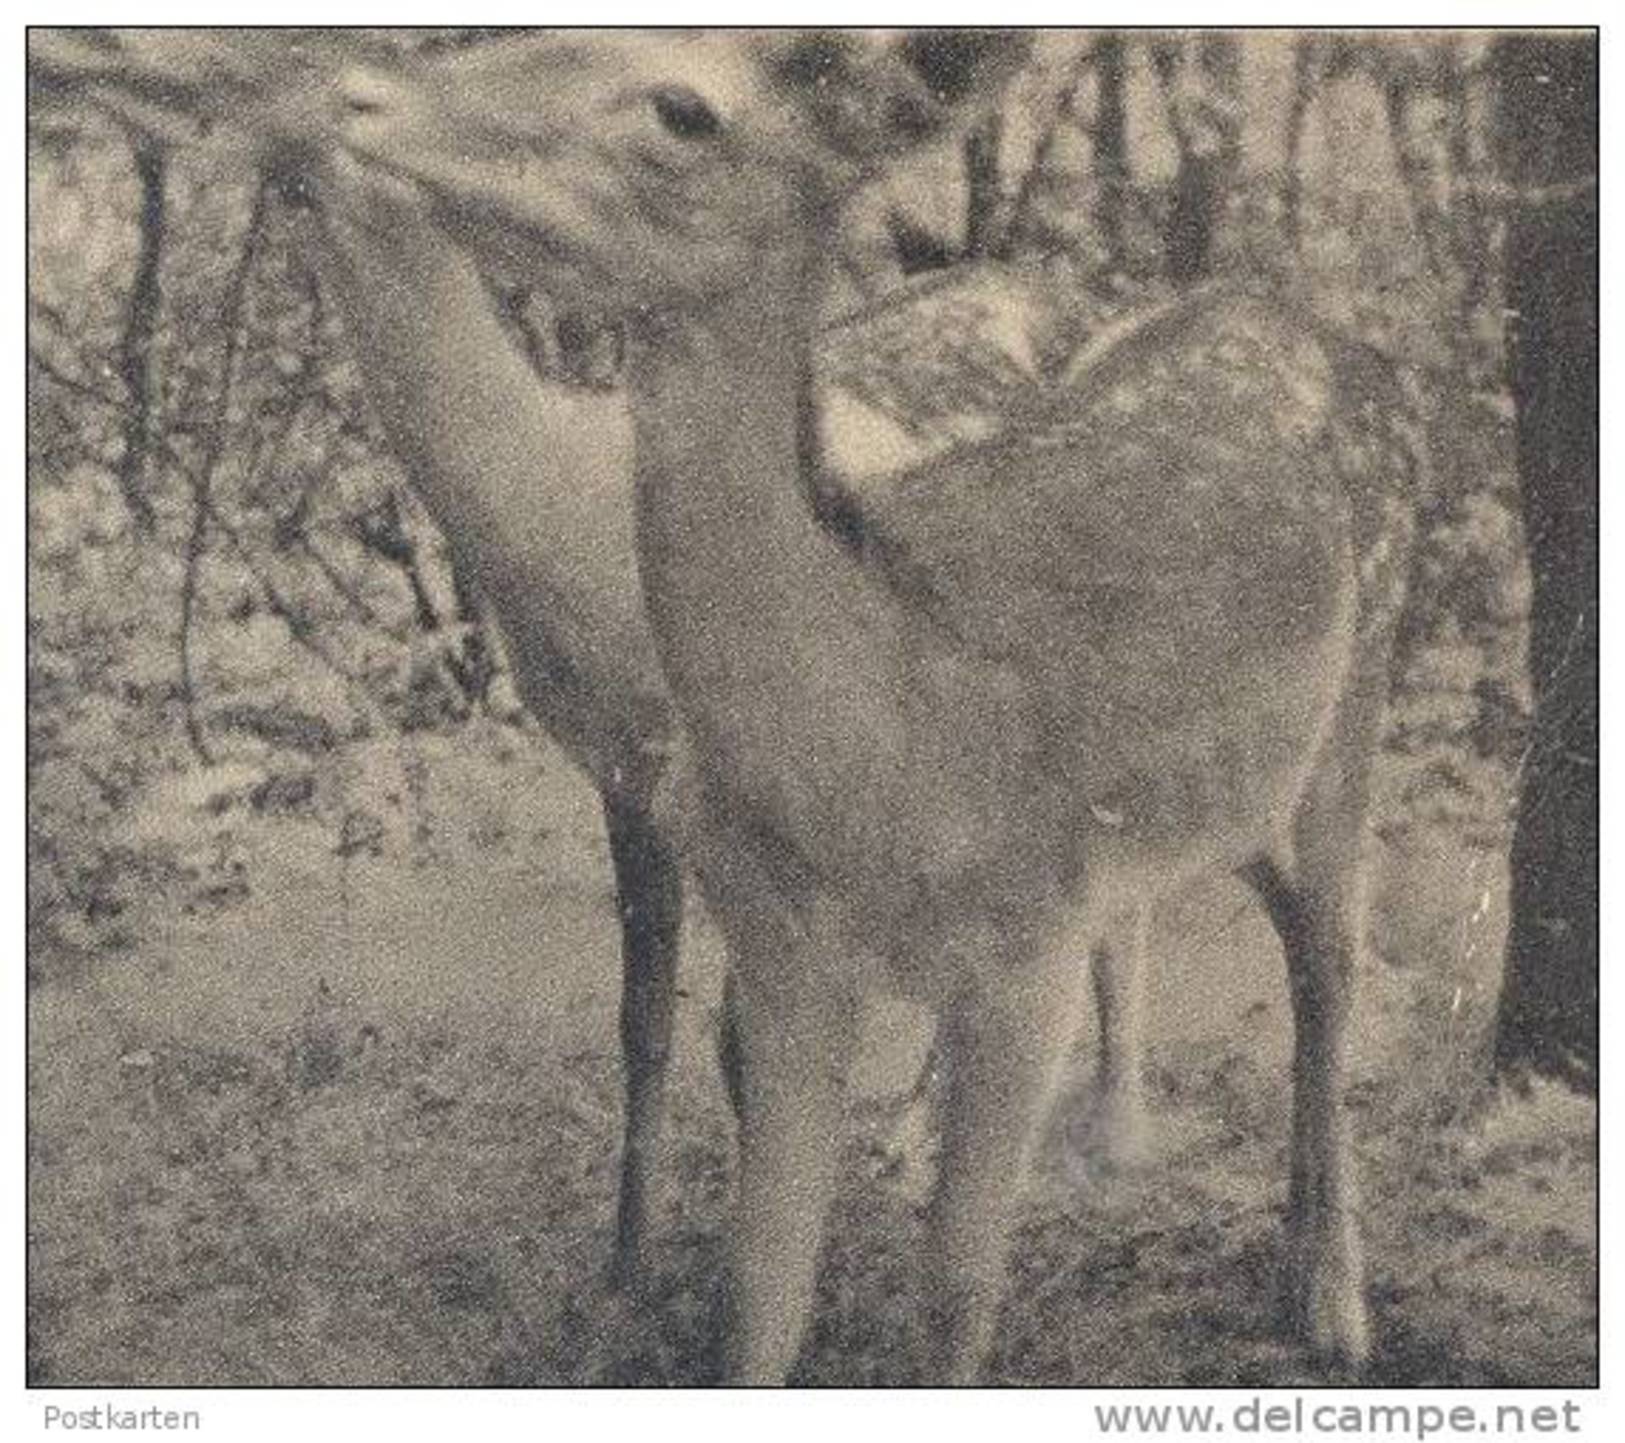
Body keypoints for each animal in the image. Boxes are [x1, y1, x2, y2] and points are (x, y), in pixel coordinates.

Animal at [25, 25, 1157, 1306]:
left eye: (279, 85)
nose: (109, 71)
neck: (563, 515)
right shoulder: (614, 766)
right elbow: (642, 1022)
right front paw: (620, 1269)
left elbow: (740, 1032)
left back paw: (1041, 1133)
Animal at [336, 28, 1430, 1378]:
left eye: (682, 106)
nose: (362, 94)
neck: (880, 744)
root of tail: (1335, 337)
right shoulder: (783, 947)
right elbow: (757, 1296)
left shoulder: (1028, 952)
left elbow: (954, 1296)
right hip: (1227, 793)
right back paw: (1272, 1252)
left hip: (1363, 682)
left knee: (1330, 959)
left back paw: (1332, 1303)